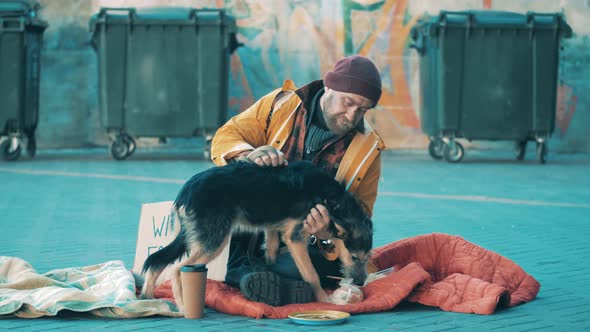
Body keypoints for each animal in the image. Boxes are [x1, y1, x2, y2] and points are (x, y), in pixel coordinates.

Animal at [140, 161, 372, 308]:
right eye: (354, 258)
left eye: (367, 258)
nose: (361, 283)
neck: (334, 201)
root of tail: (186, 190)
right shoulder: (295, 237)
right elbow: (312, 274)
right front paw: (324, 300)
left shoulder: (274, 230)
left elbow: (271, 253)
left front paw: (267, 274)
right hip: (213, 241)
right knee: (177, 269)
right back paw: (181, 305)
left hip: (193, 238)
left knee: (158, 260)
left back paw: (148, 297)